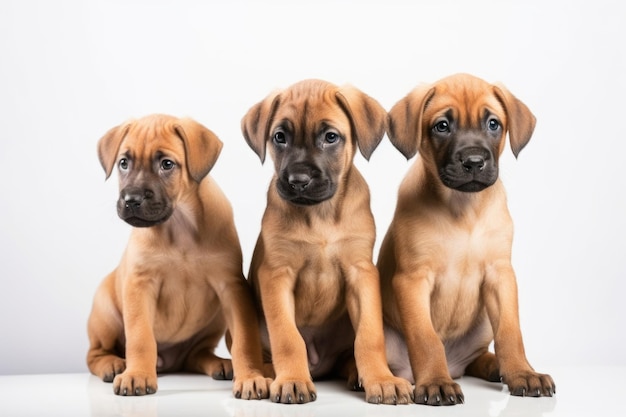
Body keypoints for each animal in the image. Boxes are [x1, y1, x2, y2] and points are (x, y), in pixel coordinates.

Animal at [87, 114, 268, 400]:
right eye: (123, 163)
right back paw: (114, 364)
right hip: (106, 313)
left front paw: (250, 377)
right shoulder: (140, 286)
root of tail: (170, 363)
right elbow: (140, 337)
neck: (179, 226)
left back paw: (220, 364)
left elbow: (244, 339)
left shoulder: (232, 288)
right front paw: (137, 374)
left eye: (167, 164)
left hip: (214, 320)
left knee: (196, 355)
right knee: (94, 354)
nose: (131, 199)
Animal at [241, 78, 412, 404]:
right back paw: (259, 378)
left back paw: (356, 375)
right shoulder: (276, 275)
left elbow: (370, 337)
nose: (298, 181)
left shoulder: (361, 273)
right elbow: (288, 337)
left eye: (330, 137)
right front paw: (292, 380)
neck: (319, 216)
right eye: (279, 137)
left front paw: (381, 380)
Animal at [378, 73, 552, 404]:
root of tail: (454, 365)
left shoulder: (500, 275)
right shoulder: (412, 280)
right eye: (442, 126)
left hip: (482, 326)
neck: (463, 209)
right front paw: (435, 381)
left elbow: (510, 332)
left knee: (478, 357)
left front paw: (522, 372)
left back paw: (496, 367)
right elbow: (426, 337)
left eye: (493, 124)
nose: (473, 162)